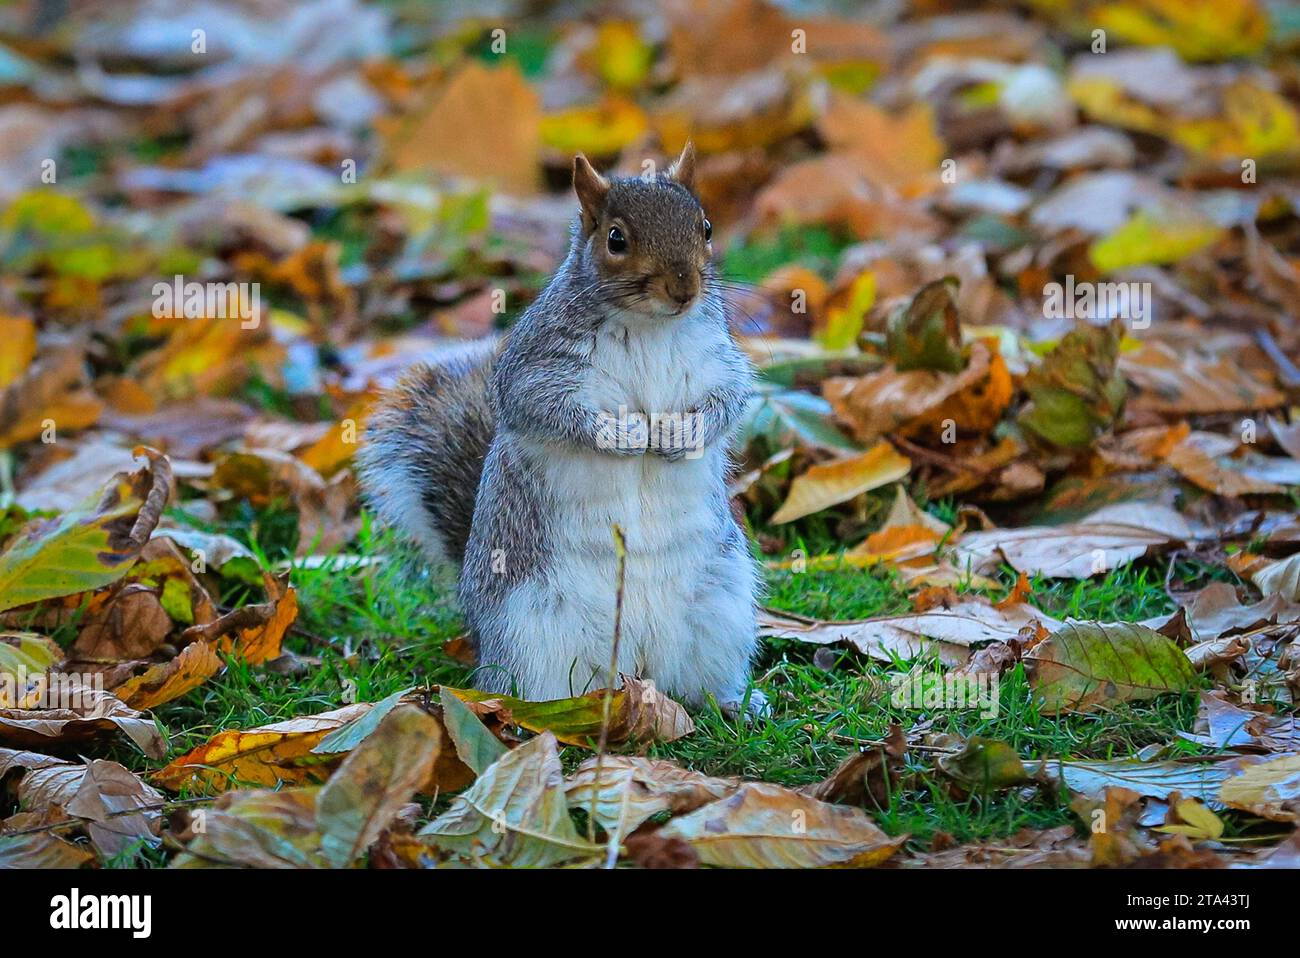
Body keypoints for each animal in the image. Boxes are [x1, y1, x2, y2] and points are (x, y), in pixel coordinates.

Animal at [356, 145, 759, 712]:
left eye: (704, 228)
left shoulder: (719, 362)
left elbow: (730, 401)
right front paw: (625, 435)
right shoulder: (536, 368)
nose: (684, 288)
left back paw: (735, 704)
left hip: (722, 607)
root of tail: (636, 666)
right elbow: (547, 409)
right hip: (531, 627)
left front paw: (681, 435)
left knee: (700, 680)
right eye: (616, 239)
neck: (651, 327)